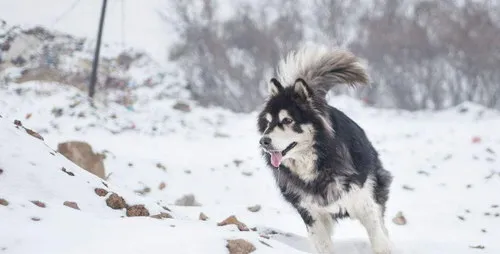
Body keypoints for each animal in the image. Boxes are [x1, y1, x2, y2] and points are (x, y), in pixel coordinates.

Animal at [258, 44, 394, 253]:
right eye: (267, 122)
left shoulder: (364, 203)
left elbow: (379, 240)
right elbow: (323, 245)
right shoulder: (311, 214)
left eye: (287, 120)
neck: (318, 164)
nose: (263, 141)